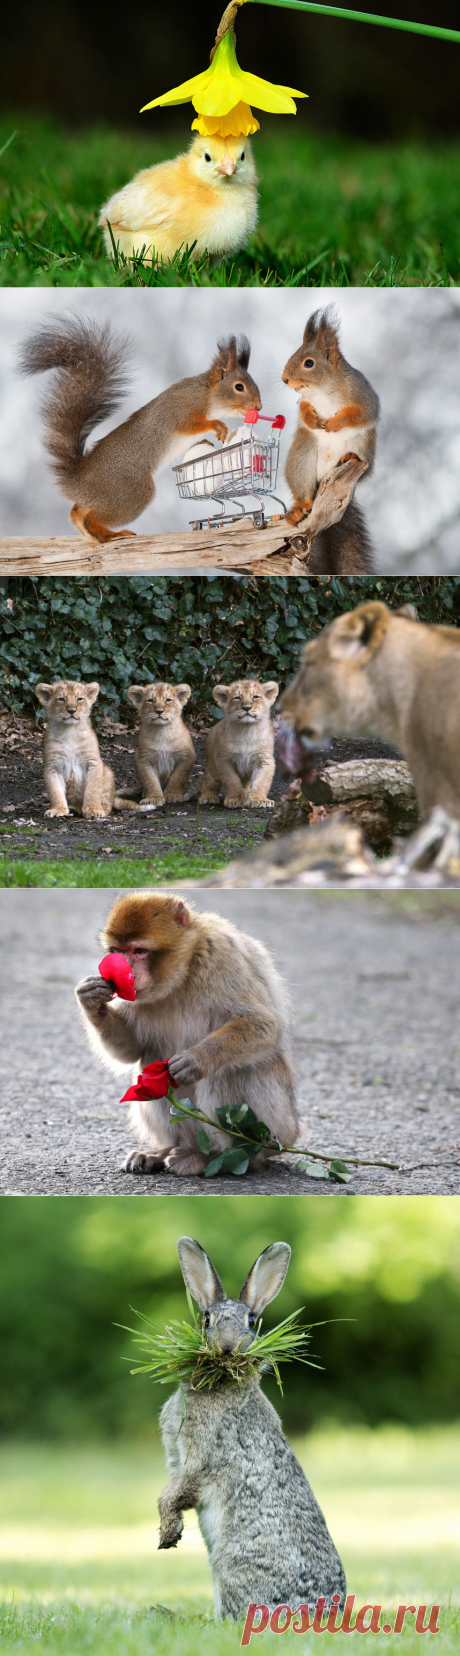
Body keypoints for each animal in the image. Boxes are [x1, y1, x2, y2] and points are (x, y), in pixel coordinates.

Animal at [74, 894, 297, 1179]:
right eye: (118, 950)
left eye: (139, 951)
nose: (126, 973)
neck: (183, 970)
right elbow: (133, 1050)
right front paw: (91, 999)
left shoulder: (222, 958)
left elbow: (263, 1024)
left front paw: (197, 1059)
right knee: (149, 1067)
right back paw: (164, 1151)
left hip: (275, 1129)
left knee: (227, 1073)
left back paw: (217, 1157)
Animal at [158, 1245, 344, 1616]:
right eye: (206, 1319)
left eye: (252, 1322)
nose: (227, 1347)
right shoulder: (175, 1459)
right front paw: (169, 1532)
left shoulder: (200, 1459)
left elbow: (180, 1491)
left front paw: (168, 1533)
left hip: (229, 1562)